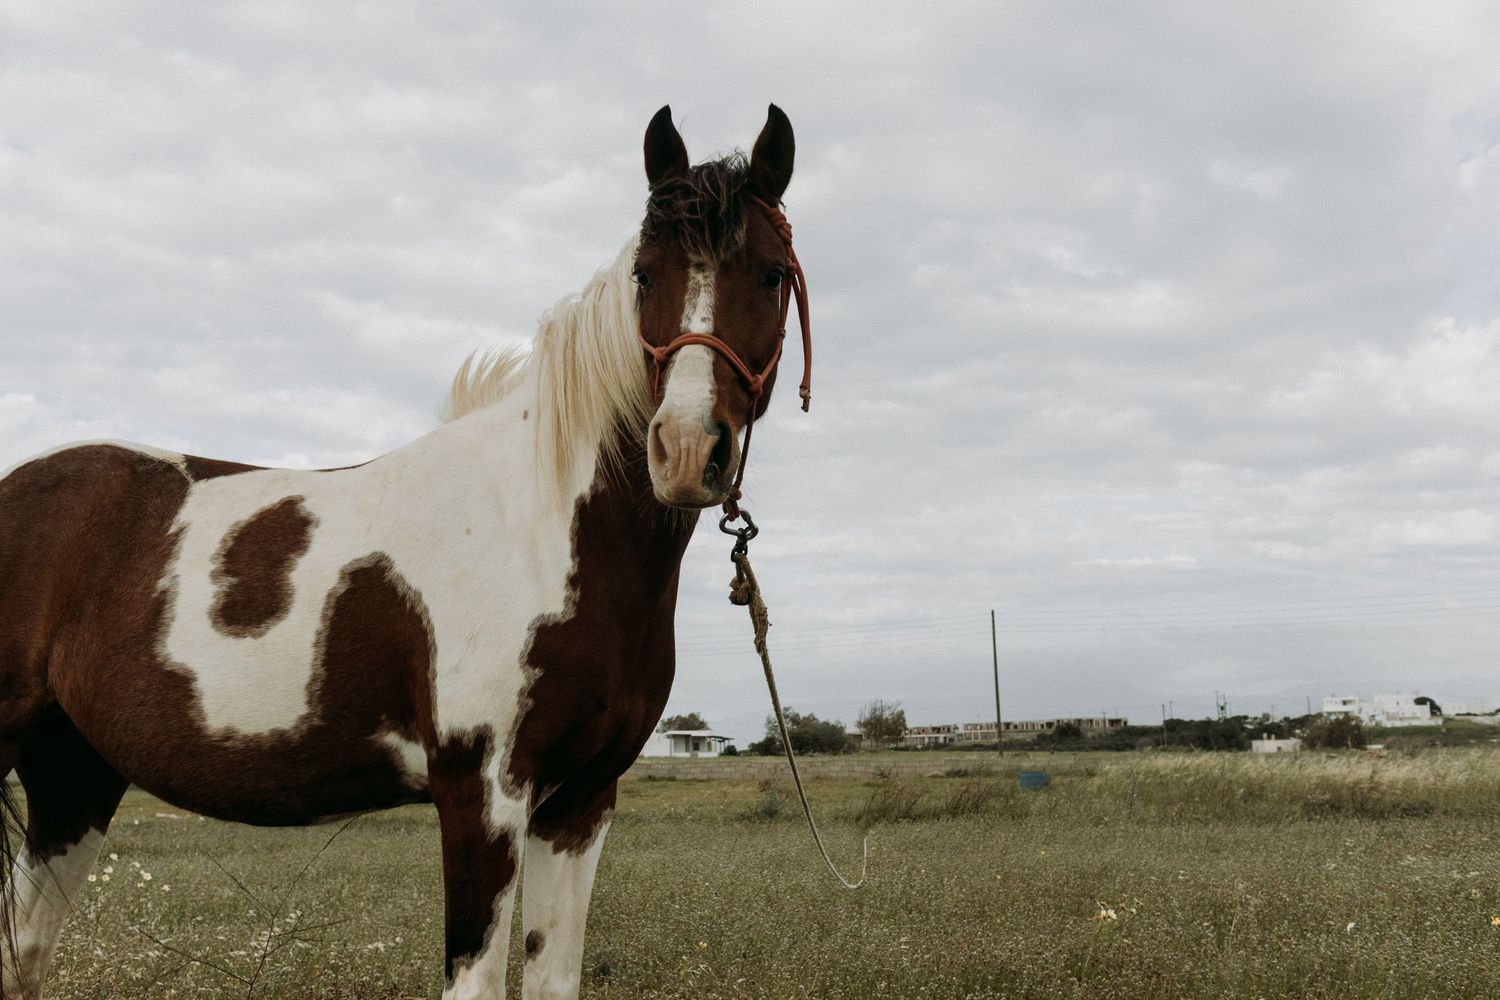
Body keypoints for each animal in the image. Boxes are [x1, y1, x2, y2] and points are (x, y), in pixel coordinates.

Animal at [0, 103, 809, 1000]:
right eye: (644, 275)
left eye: (770, 274)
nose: (685, 450)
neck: (540, 528)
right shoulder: (482, 798)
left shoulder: (579, 805)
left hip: (72, 777)